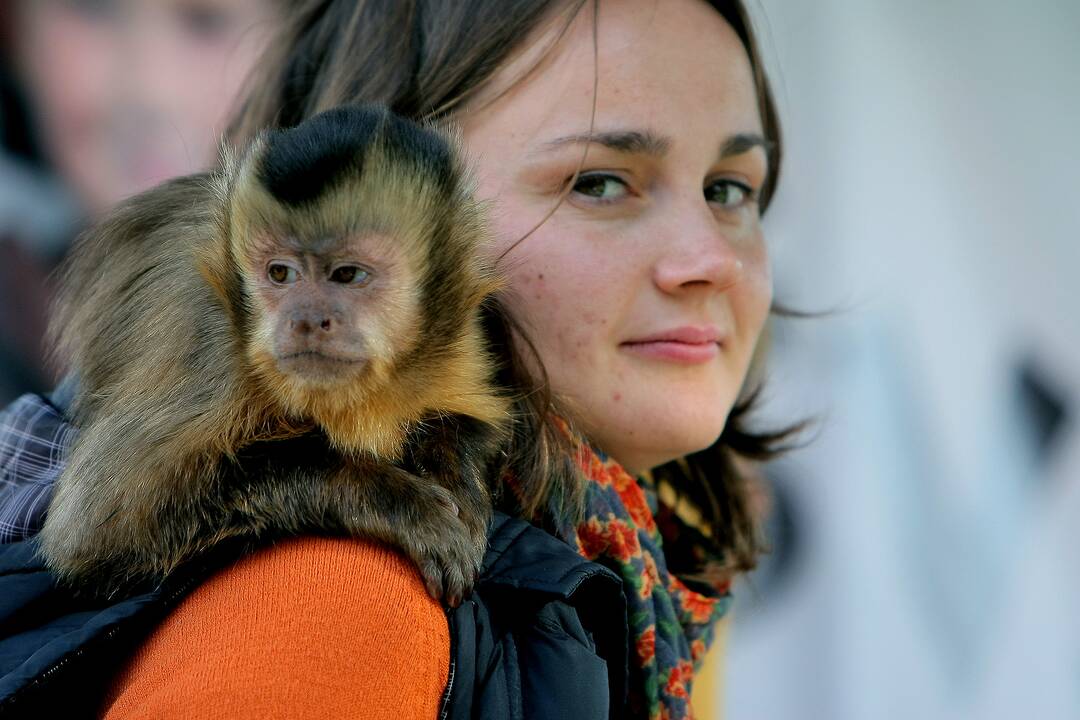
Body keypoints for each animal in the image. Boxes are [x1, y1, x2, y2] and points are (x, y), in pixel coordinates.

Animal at [41, 104, 509, 604]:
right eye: (280, 273)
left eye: (347, 274)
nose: (305, 321)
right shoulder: (213, 351)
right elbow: (94, 531)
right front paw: (398, 501)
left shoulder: (458, 337)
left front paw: (457, 474)